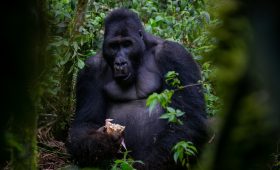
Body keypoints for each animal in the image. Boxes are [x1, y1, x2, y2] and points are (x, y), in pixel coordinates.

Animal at [66, 8, 209, 170]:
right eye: (113, 46)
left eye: (127, 44)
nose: (120, 63)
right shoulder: (90, 69)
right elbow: (84, 124)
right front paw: (103, 141)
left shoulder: (175, 54)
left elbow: (188, 117)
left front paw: (148, 165)